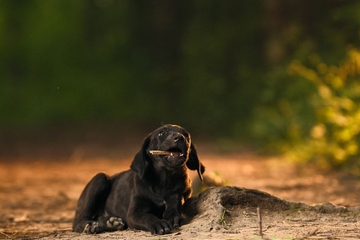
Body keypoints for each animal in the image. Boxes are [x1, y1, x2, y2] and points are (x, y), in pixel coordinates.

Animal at [72, 124, 205, 234]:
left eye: (186, 135)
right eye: (161, 133)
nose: (180, 137)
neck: (164, 179)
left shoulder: (181, 193)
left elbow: (175, 198)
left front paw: (173, 216)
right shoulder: (134, 213)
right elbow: (147, 217)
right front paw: (159, 223)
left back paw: (111, 223)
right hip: (100, 178)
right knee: (79, 222)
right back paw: (92, 226)